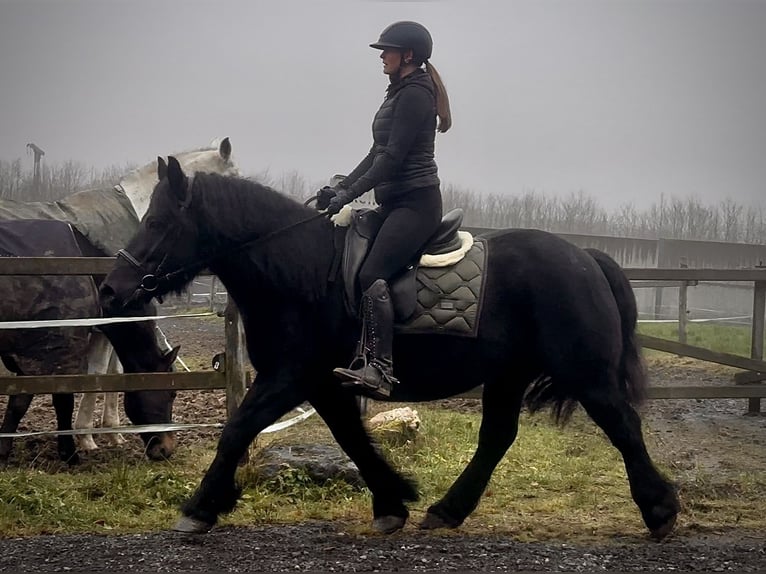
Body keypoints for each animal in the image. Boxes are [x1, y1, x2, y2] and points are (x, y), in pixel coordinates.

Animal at [0, 219, 180, 464]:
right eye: (172, 393)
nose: (166, 449)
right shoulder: (56, 352)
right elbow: (62, 401)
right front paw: (70, 452)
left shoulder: (30, 355)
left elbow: (18, 403)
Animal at [99, 156, 680, 539]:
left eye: (158, 222)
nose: (110, 289)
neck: (301, 270)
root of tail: (584, 257)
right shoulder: (323, 383)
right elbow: (352, 439)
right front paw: (393, 500)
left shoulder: (289, 376)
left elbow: (237, 430)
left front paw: (199, 507)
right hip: (508, 373)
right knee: (497, 437)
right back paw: (447, 510)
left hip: (586, 373)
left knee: (624, 426)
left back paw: (660, 510)